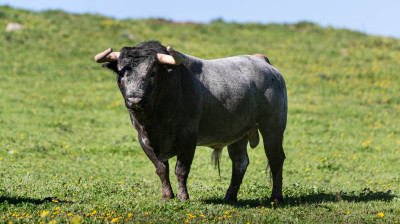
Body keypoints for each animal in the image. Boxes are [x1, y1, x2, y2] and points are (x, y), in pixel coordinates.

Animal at [94, 41, 288, 202]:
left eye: (152, 73)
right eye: (121, 72)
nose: (135, 100)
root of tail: (262, 61)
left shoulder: (187, 137)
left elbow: (181, 169)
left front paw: (183, 196)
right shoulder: (144, 140)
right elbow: (161, 169)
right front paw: (167, 195)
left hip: (273, 127)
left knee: (276, 159)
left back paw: (276, 197)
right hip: (238, 133)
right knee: (240, 163)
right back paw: (229, 197)